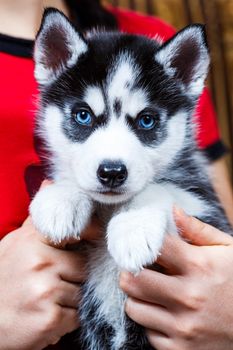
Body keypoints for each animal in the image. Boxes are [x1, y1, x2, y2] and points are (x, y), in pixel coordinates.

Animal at [30, 8, 231, 350]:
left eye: (146, 120)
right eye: (83, 115)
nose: (112, 172)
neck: (109, 207)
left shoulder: (207, 209)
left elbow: (163, 190)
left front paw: (133, 226)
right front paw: (61, 199)